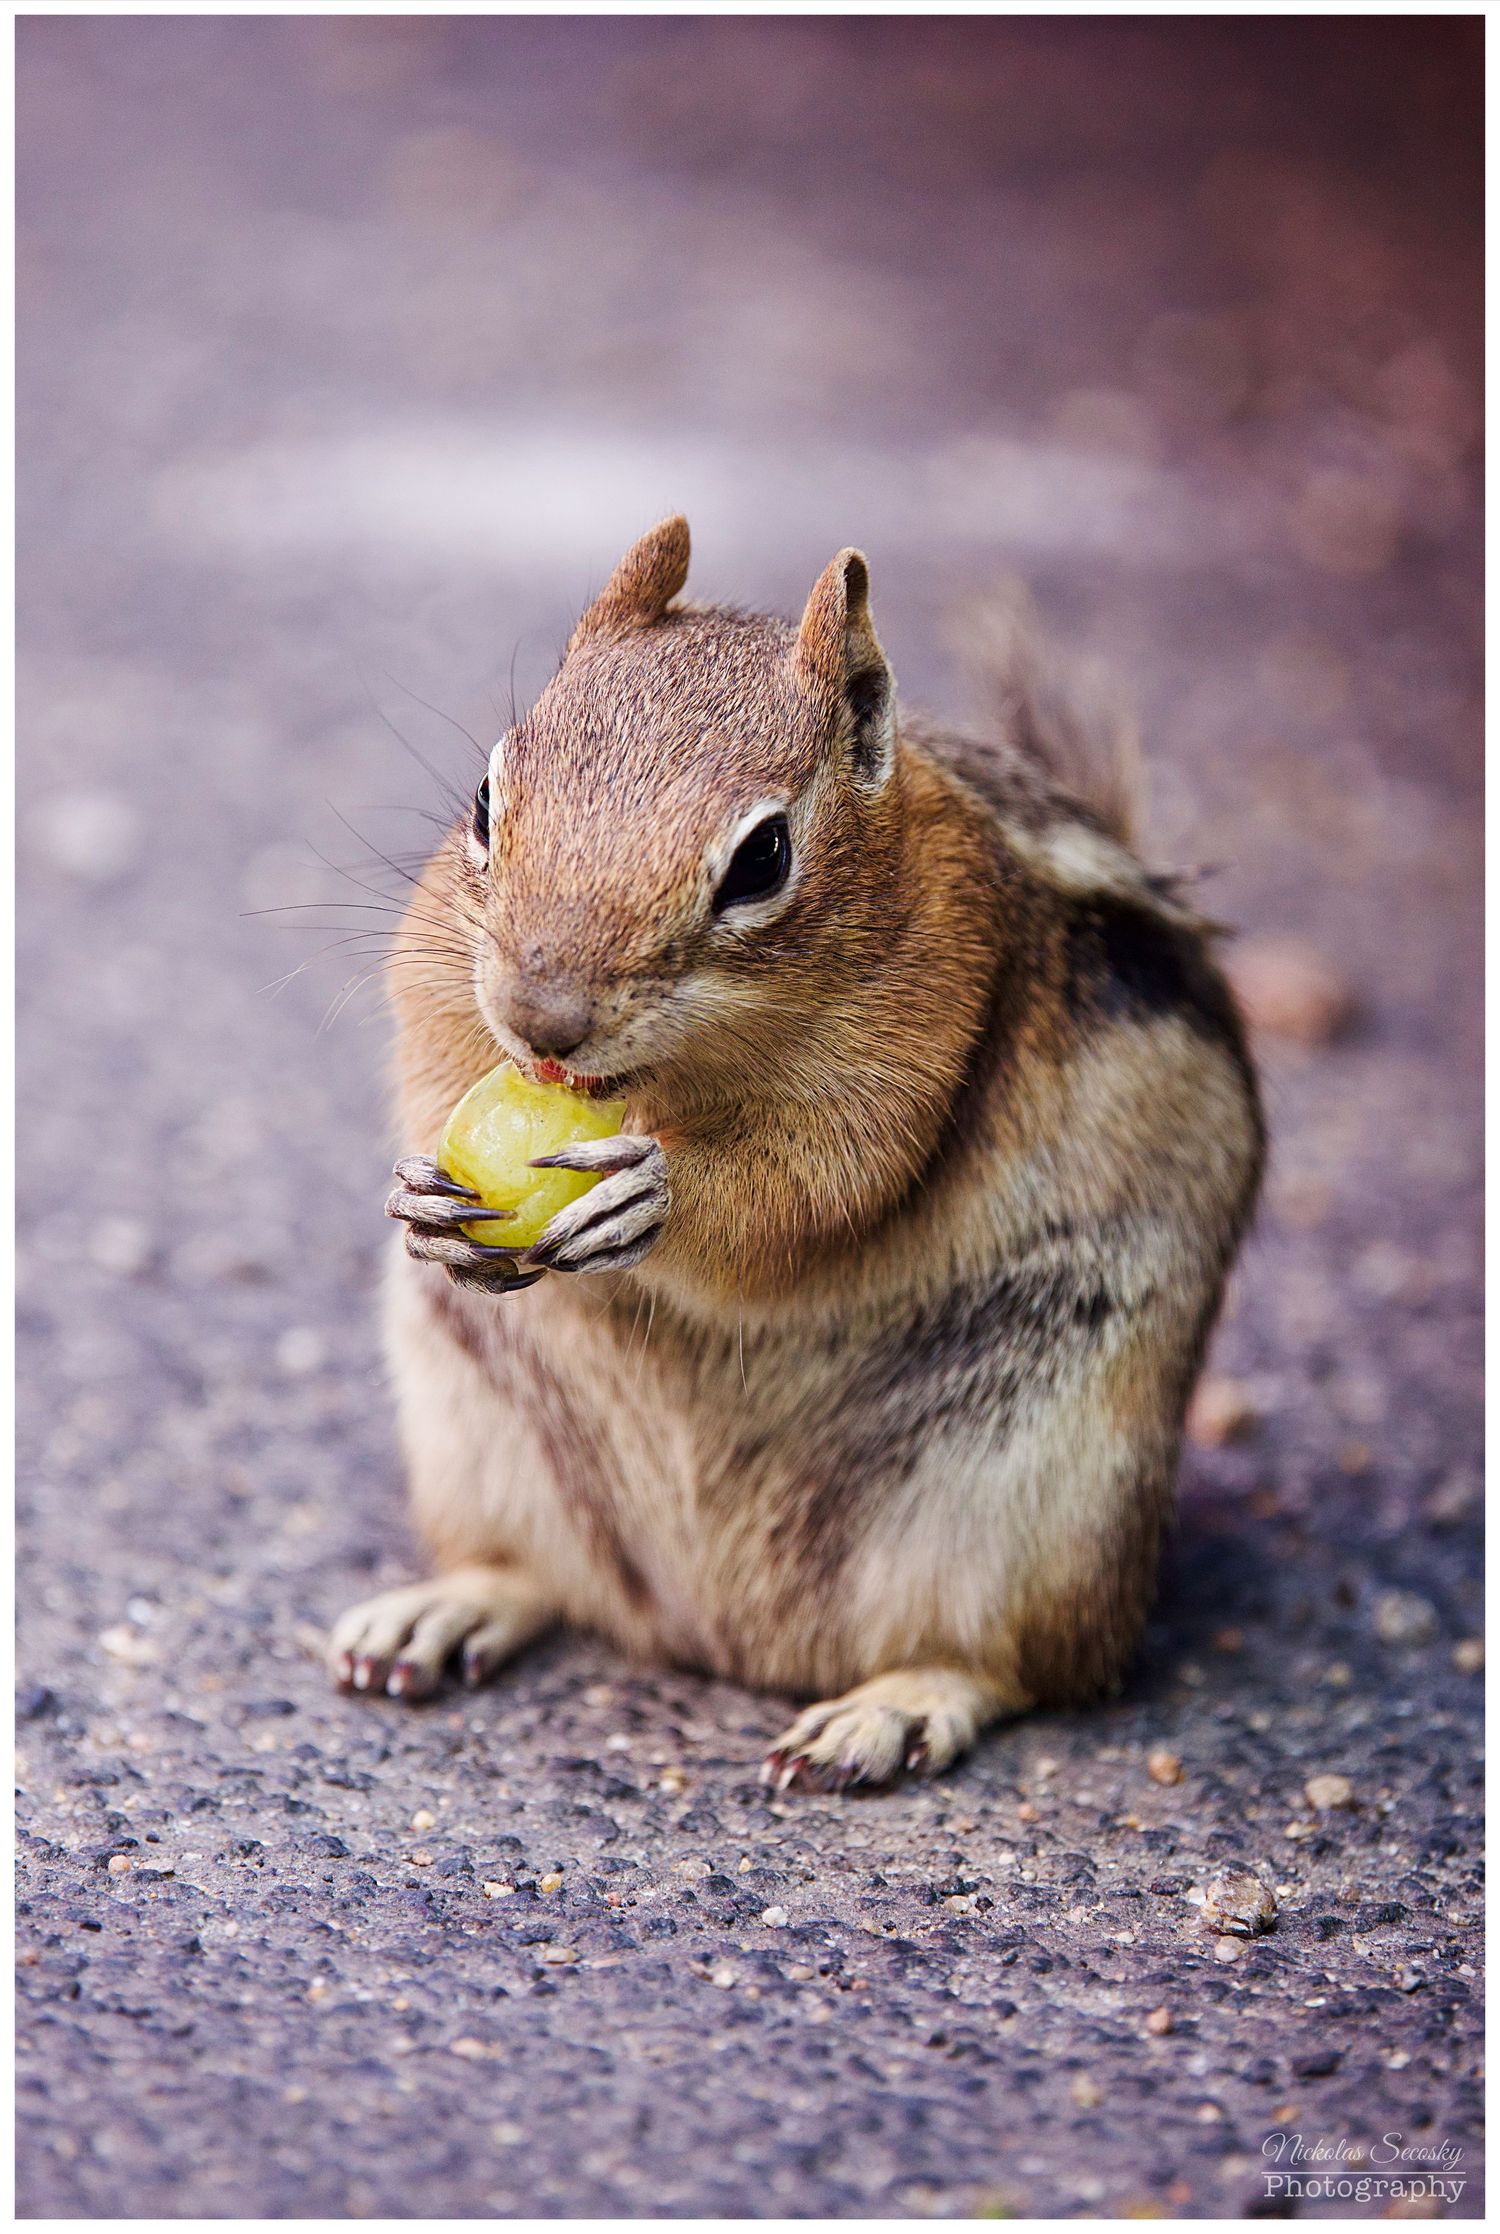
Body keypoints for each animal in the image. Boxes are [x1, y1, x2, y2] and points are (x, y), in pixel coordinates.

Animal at [327, 516, 1263, 1792]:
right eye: (484, 797)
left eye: (764, 855)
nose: (541, 1019)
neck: (672, 1078)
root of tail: (722, 1634)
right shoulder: (442, 966)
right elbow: (429, 1057)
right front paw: (421, 1195)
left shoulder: (915, 1039)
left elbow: (815, 1191)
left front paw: (656, 1197)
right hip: (476, 1424)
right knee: (549, 1580)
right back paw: (444, 1608)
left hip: (1044, 1498)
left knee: (1016, 1667)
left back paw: (889, 1710)